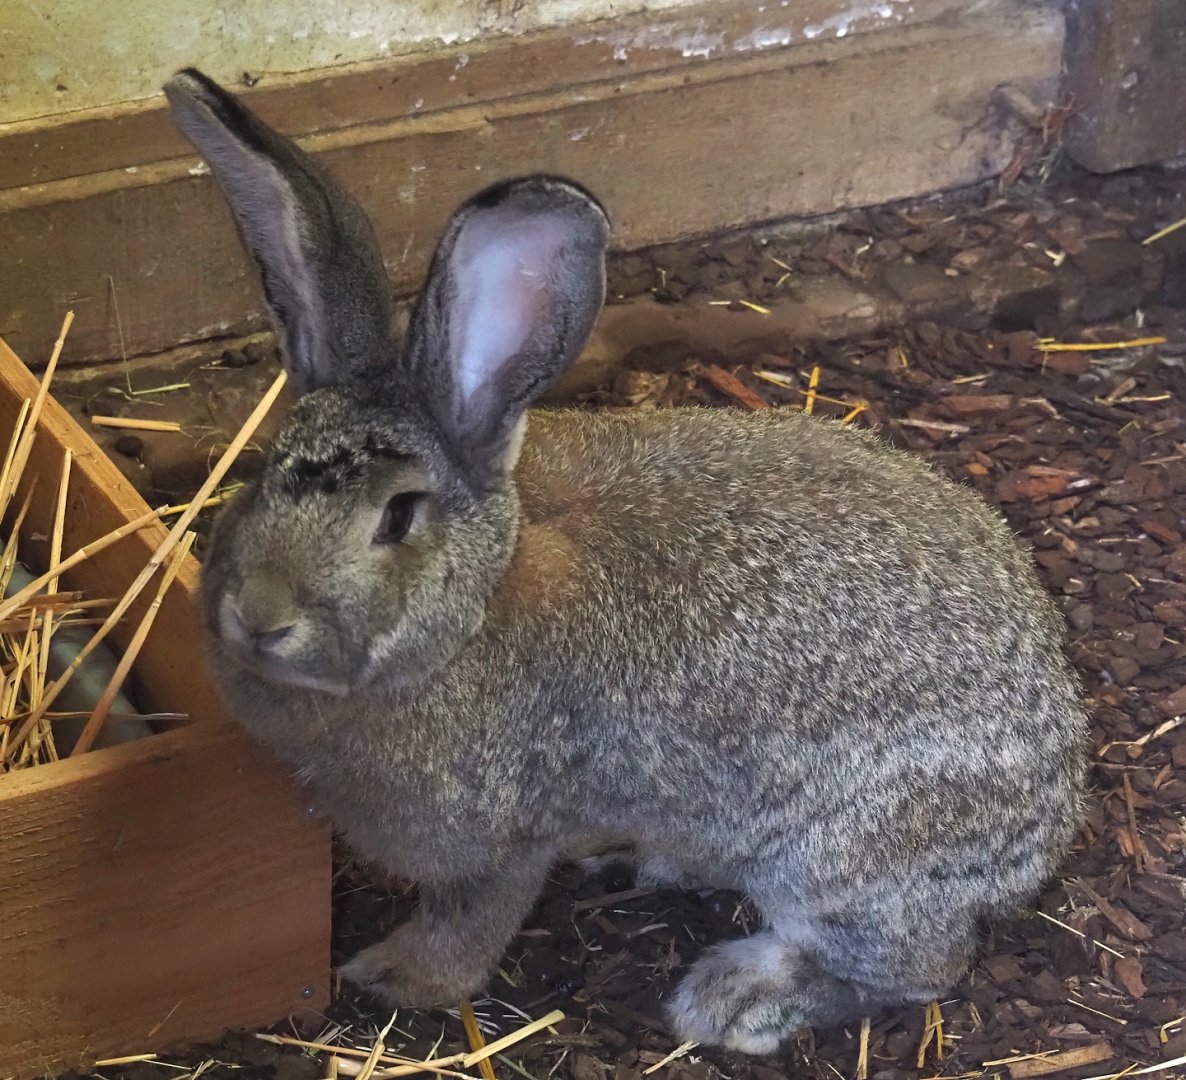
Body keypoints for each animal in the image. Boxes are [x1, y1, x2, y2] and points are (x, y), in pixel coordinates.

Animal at [165, 67, 1087, 1055]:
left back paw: (737, 998)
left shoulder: (499, 839)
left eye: (399, 516)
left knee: (916, 965)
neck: (475, 609)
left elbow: (469, 925)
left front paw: (392, 979)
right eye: (263, 470)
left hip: (844, 864)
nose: (259, 617)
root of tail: (1052, 816)